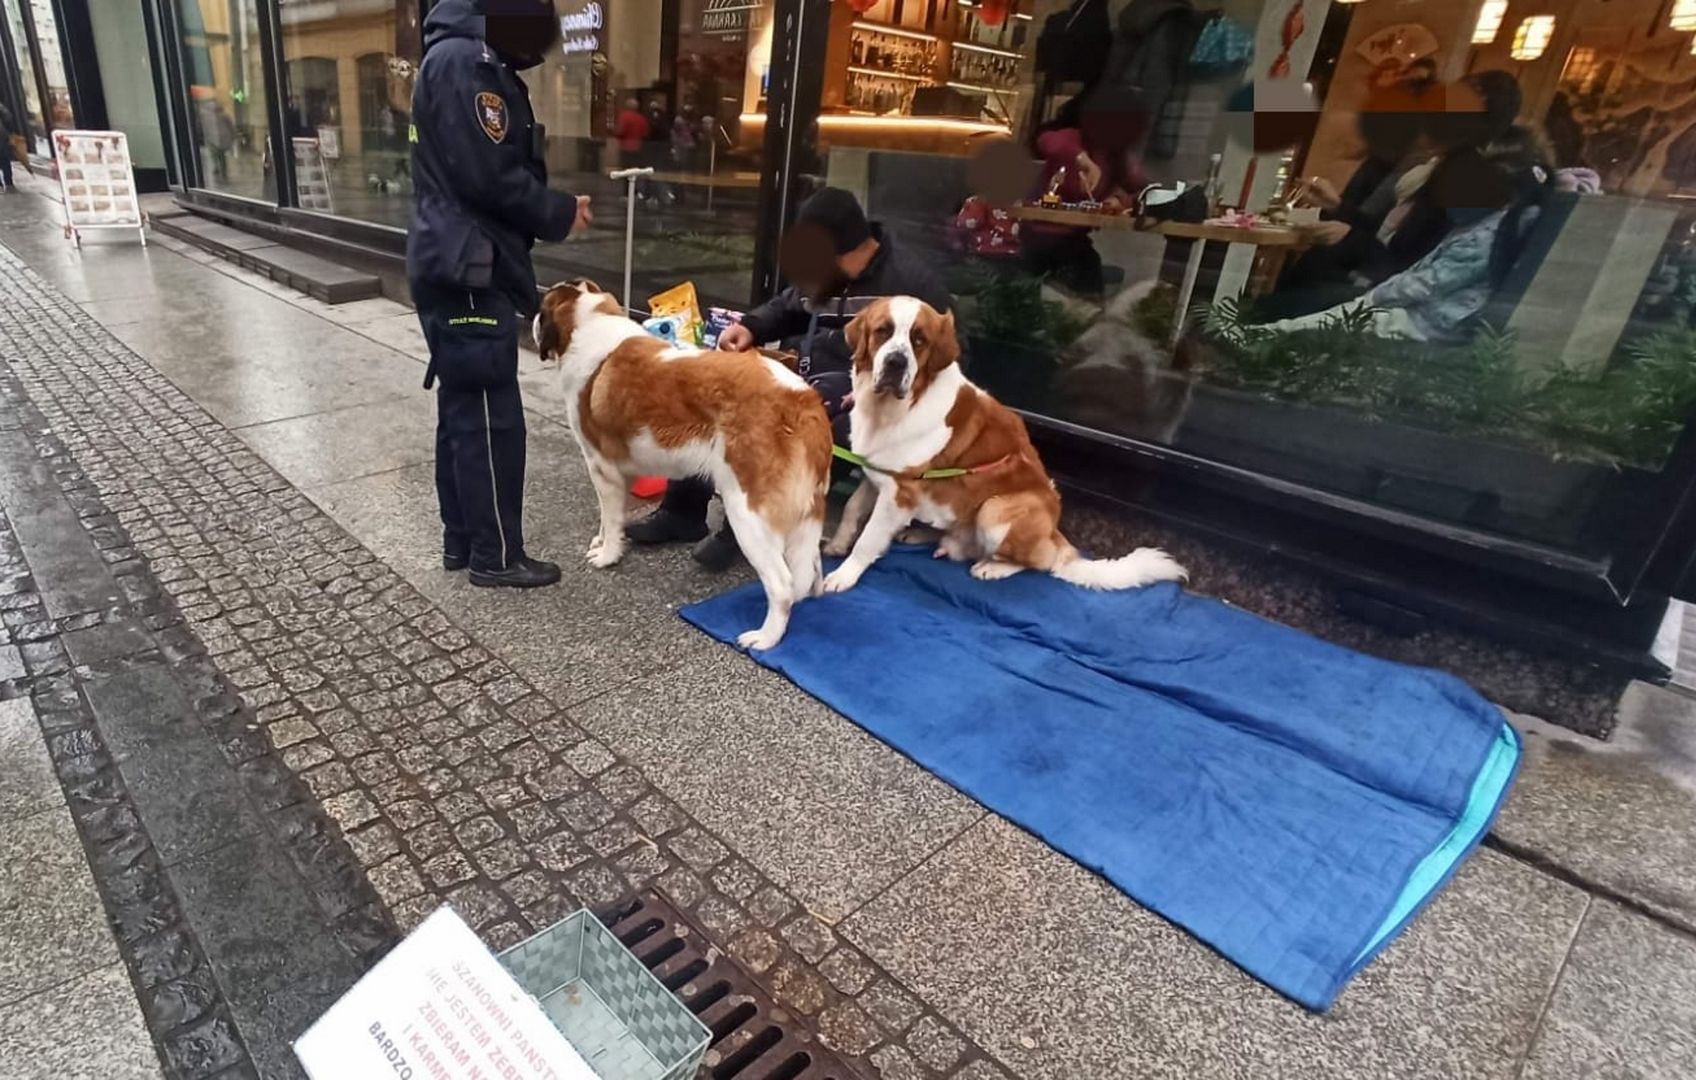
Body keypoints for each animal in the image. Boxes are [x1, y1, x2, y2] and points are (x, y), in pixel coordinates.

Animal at [532, 278, 831, 647]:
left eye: (542, 309)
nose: (532, 320)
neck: (589, 322)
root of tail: (804, 399)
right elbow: (607, 518)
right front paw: (602, 543)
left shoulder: (602, 469)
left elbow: (611, 518)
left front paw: (607, 555)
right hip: (805, 510)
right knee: (810, 567)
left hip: (747, 512)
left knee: (783, 584)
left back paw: (765, 638)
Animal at [820, 298, 1180, 593]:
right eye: (883, 331)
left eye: (918, 340)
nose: (896, 362)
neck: (894, 408)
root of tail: (1055, 532)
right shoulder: (877, 474)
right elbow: (852, 508)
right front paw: (837, 544)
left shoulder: (900, 492)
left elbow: (868, 538)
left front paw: (844, 575)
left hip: (996, 510)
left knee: (1041, 561)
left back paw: (993, 567)